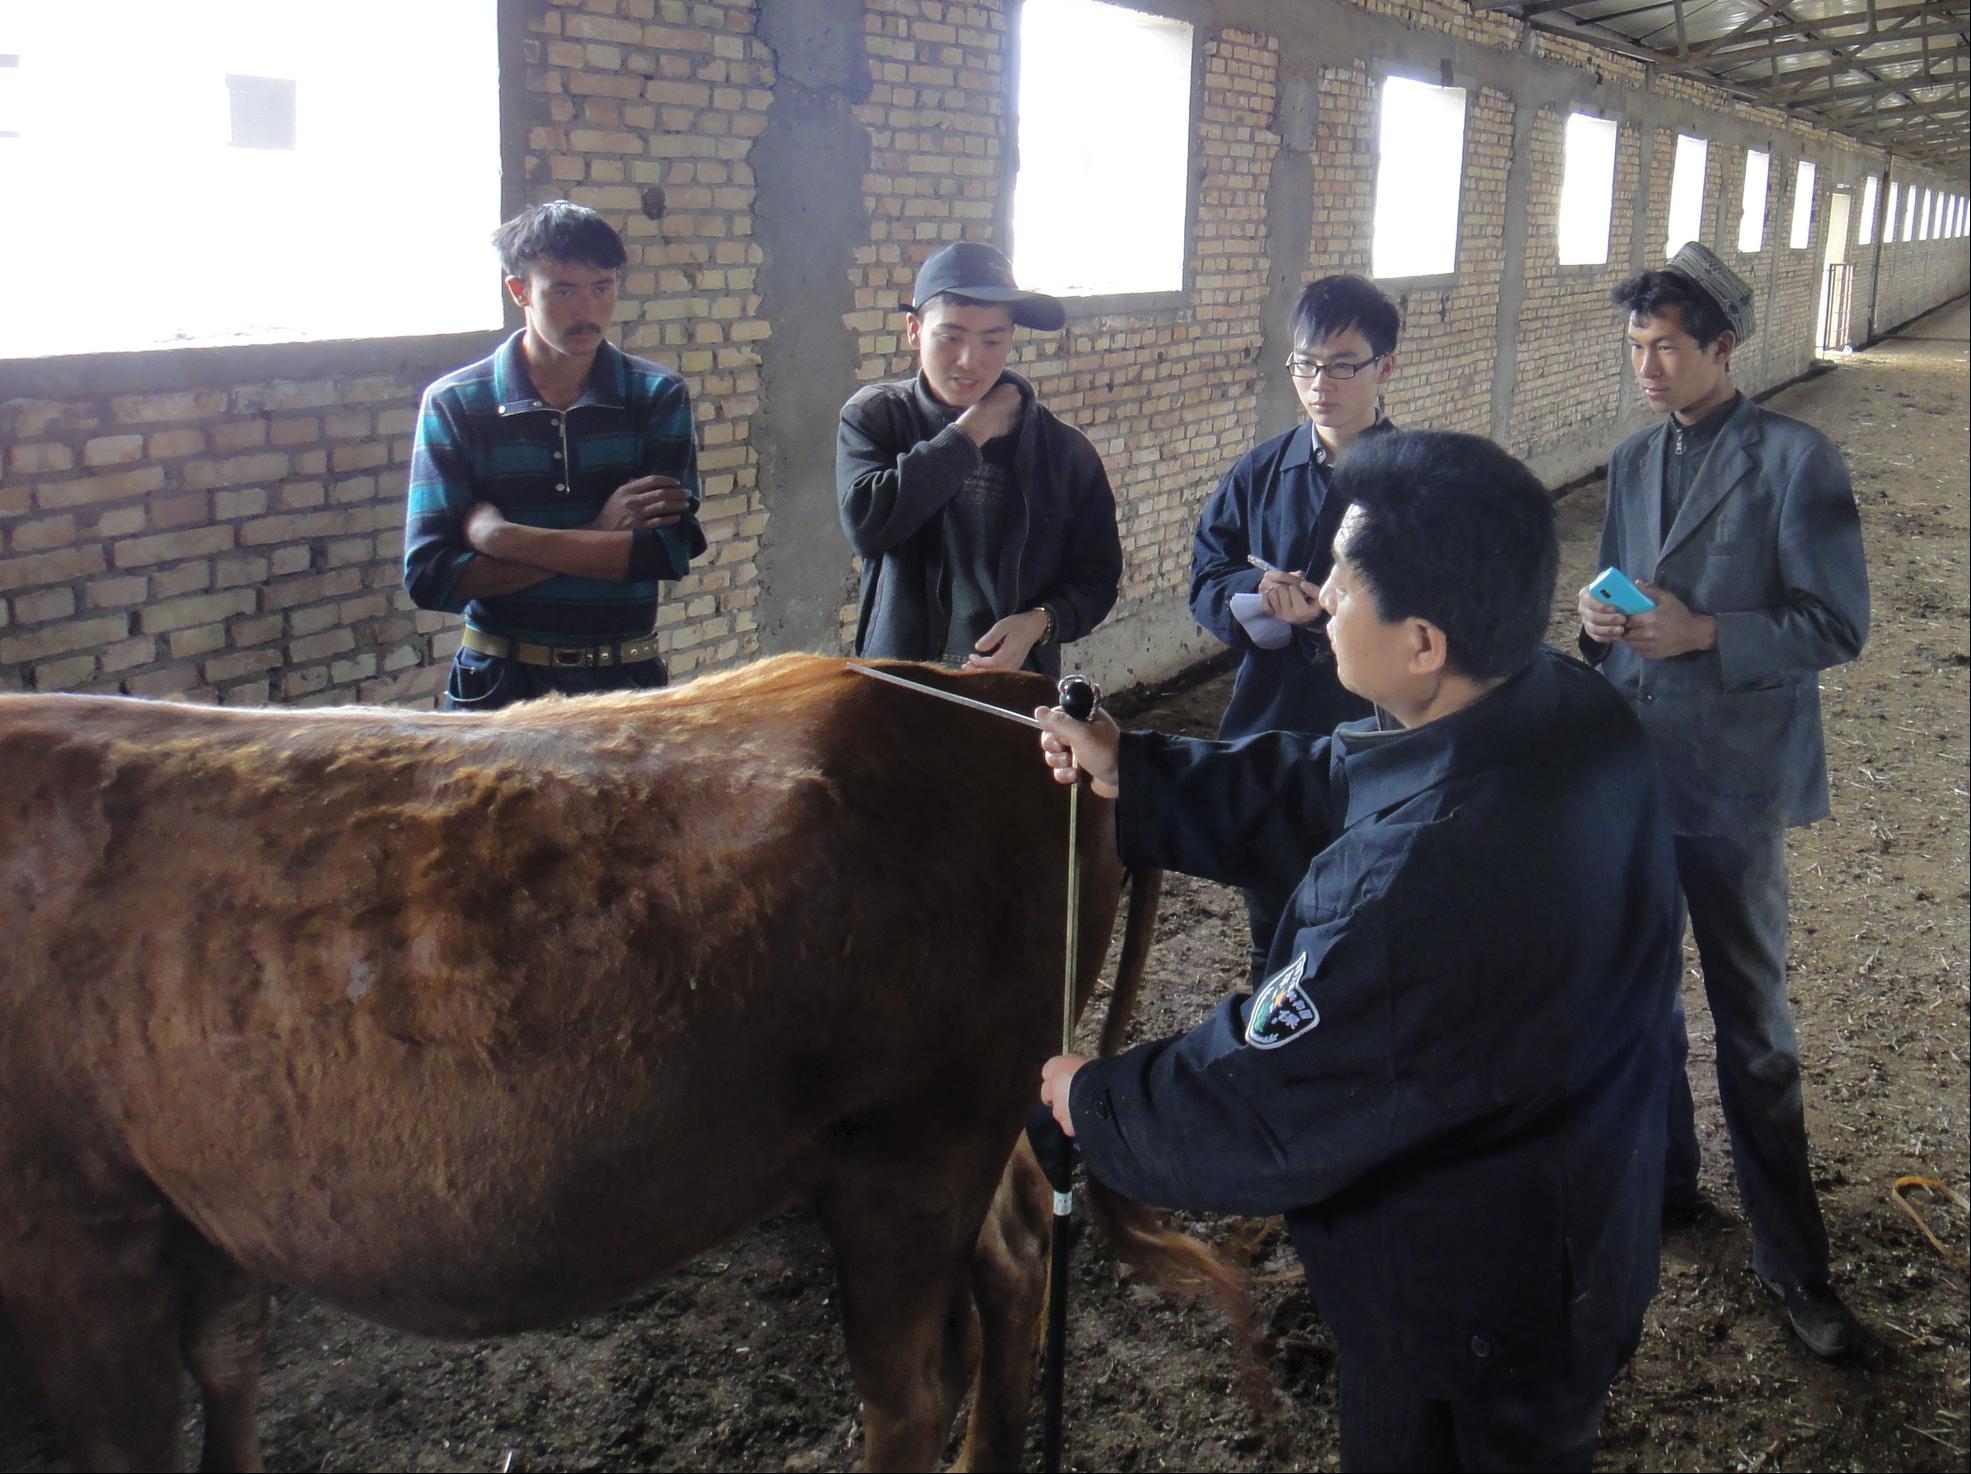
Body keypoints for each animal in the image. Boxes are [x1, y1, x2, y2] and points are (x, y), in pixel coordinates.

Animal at [0, 658, 1206, 1474]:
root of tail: (1003, 686)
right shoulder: (188, 1209)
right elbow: (230, 1377)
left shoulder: (73, 1229)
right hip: (966, 1119)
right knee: (1015, 1256)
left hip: (914, 1143)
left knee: (909, 1379)